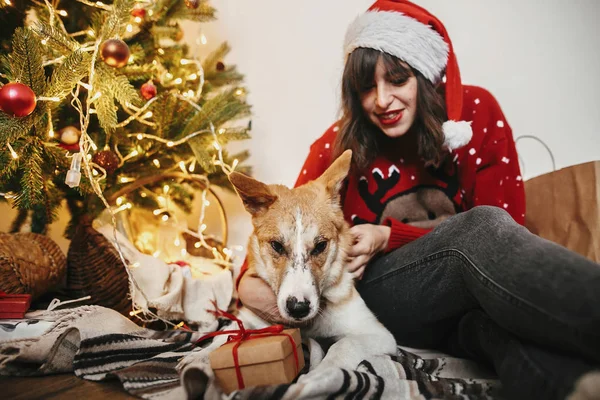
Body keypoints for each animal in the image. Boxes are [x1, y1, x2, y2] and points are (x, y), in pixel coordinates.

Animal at [227, 150, 396, 382]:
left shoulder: (377, 333)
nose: (298, 308)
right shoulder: (248, 316)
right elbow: (223, 336)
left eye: (320, 246)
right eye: (277, 245)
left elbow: (344, 345)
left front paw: (321, 375)